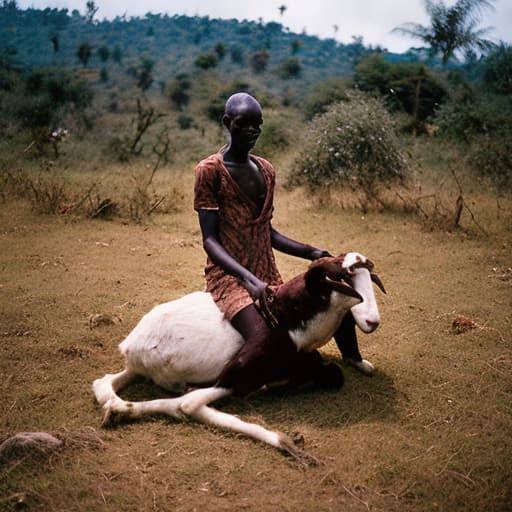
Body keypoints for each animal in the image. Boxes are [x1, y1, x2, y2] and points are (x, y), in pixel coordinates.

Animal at [93, 252, 384, 464]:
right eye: (342, 277)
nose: (372, 321)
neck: (290, 319)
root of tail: (132, 347)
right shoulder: (239, 372)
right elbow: (189, 404)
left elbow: (331, 373)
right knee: (185, 403)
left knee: (103, 384)